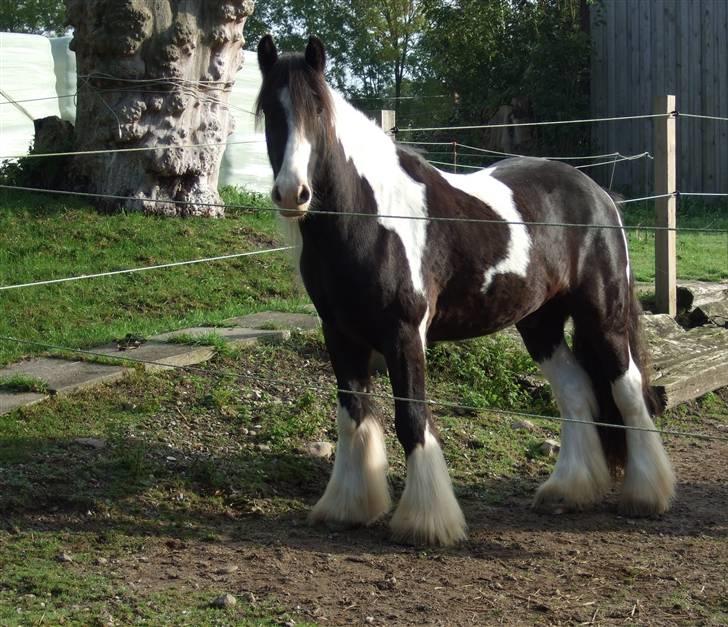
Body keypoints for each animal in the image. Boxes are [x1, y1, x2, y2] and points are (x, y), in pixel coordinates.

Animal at [253, 34, 672, 548]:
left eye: (318, 109)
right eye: (270, 109)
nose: (293, 193)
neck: (368, 219)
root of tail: (598, 194)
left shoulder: (404, 334)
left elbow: (412, 419)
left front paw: (426, 521)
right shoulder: (341, 334)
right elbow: (352, 414)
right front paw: (347, 507)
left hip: (603, 315)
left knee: (628, 392)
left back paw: (646, 495)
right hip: (540, 324)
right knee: (577, 391)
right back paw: (567, 490)